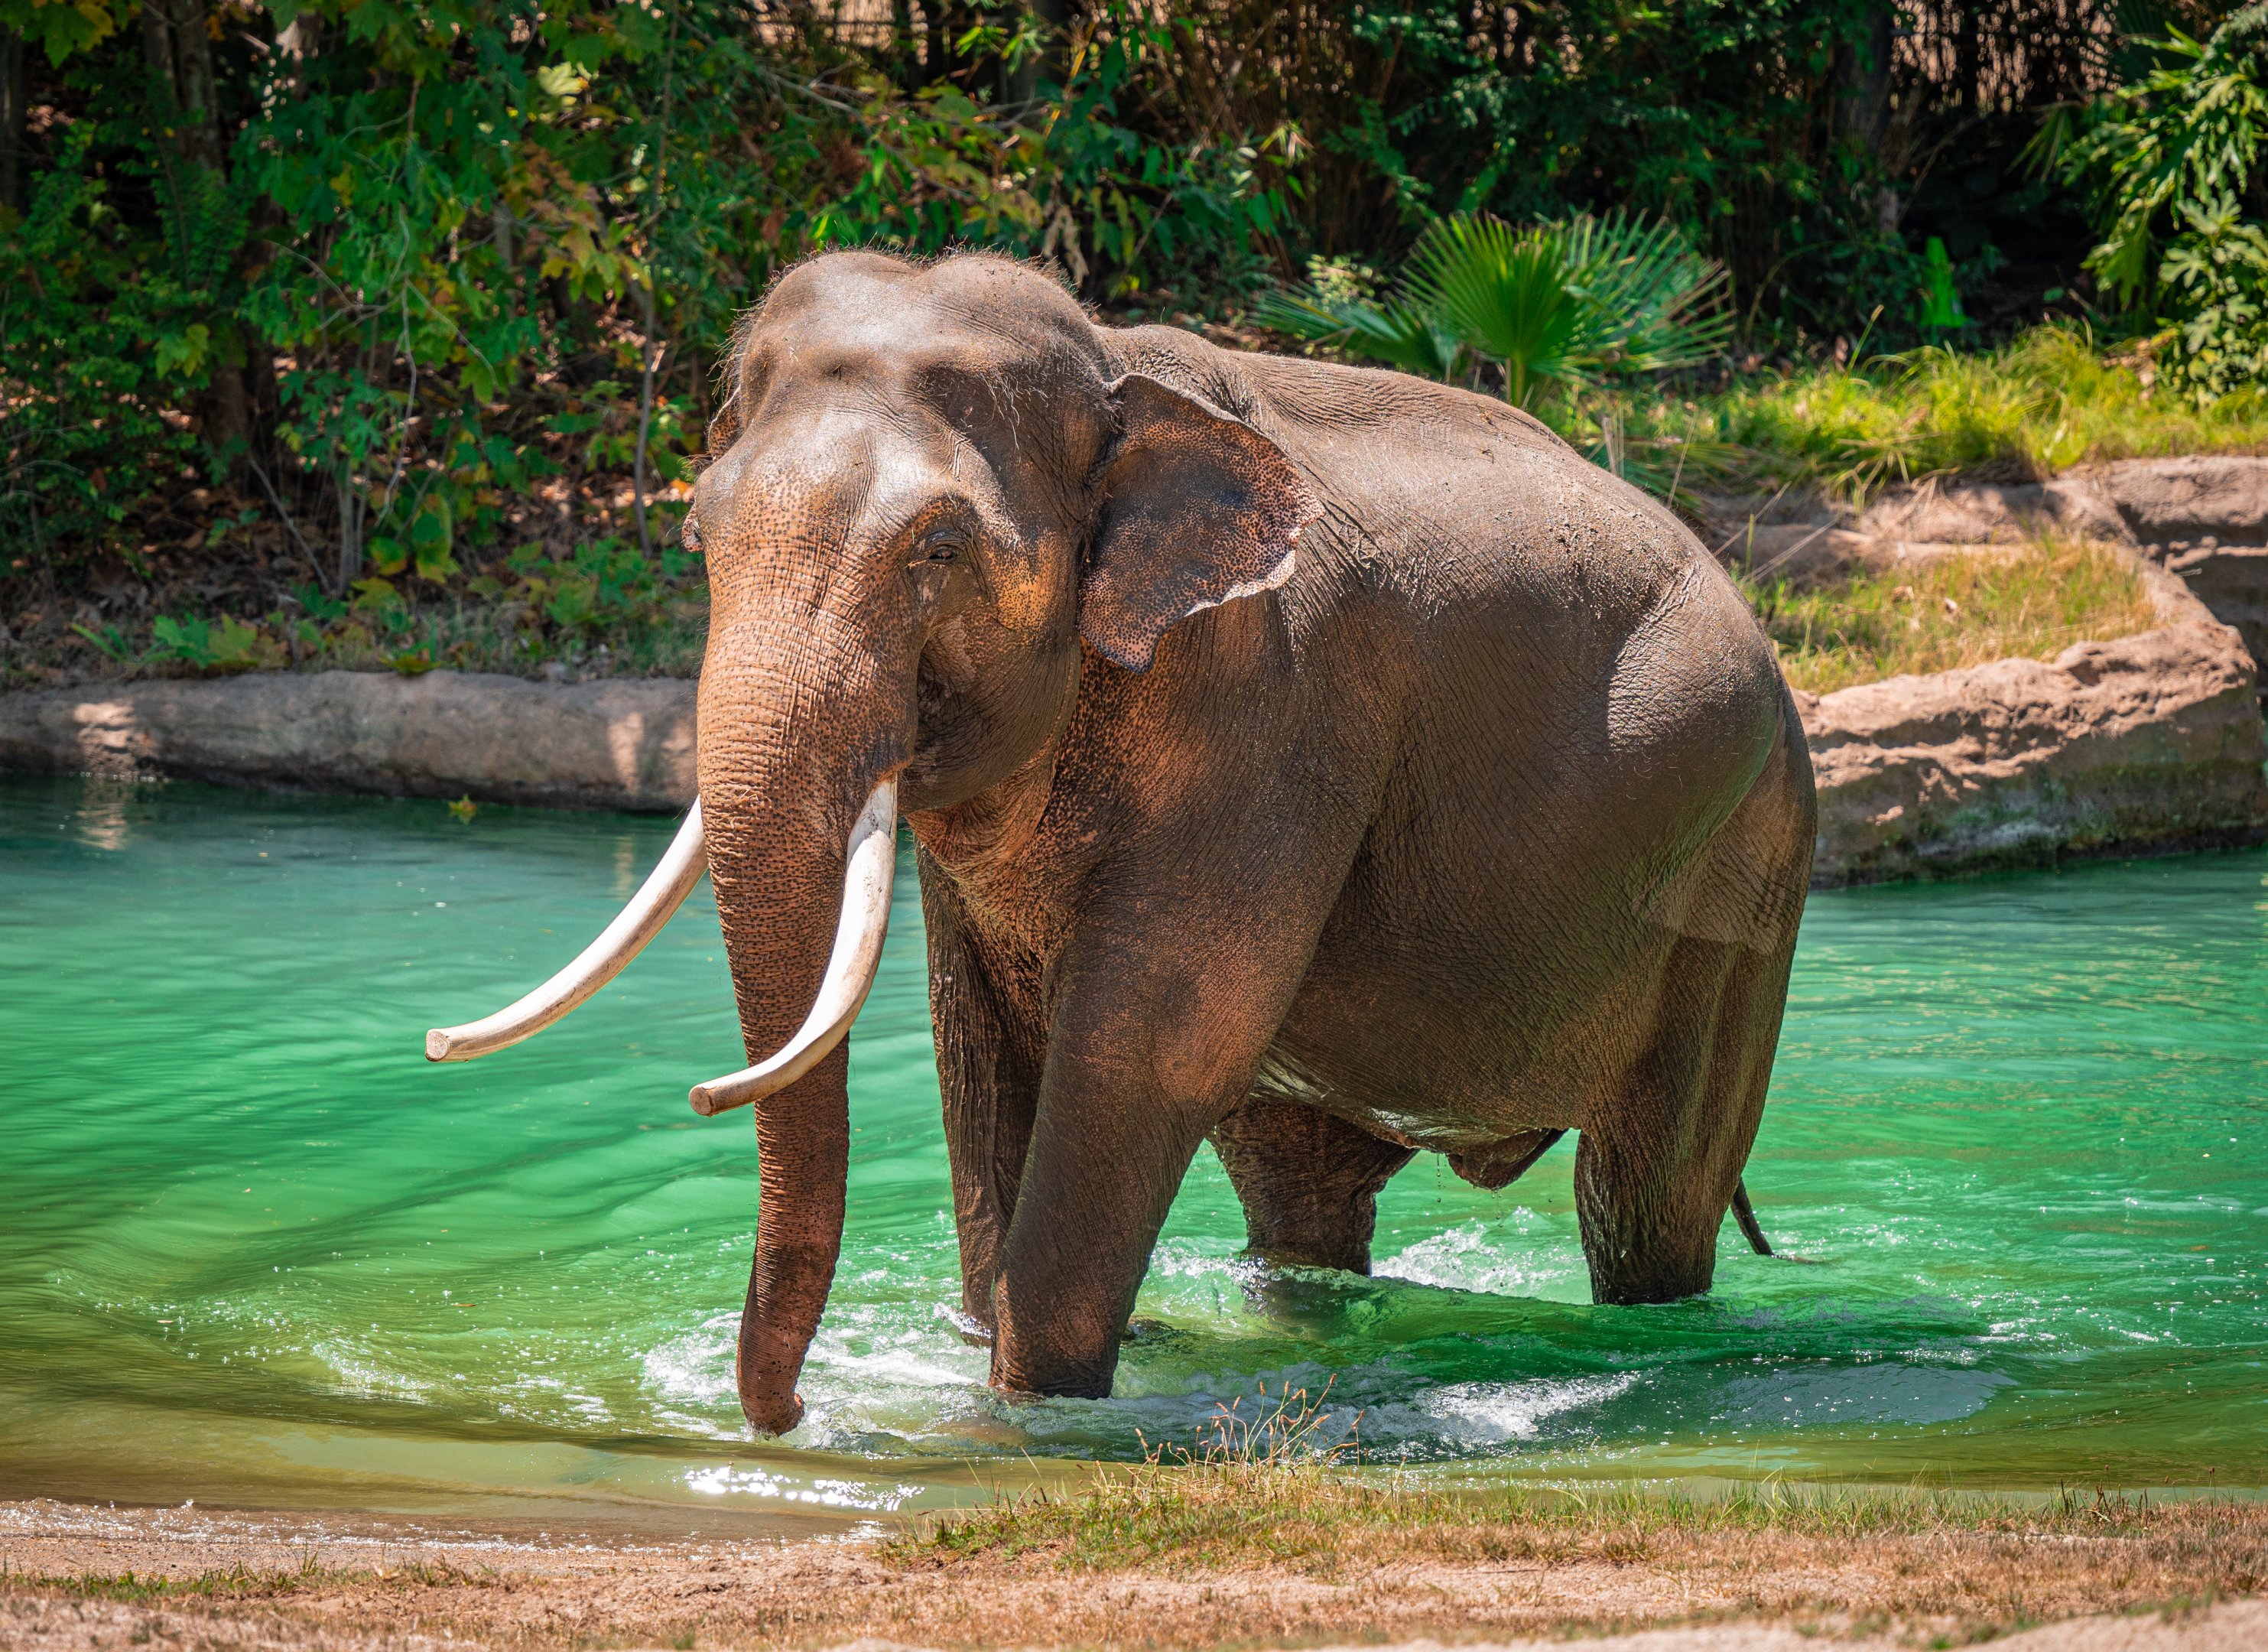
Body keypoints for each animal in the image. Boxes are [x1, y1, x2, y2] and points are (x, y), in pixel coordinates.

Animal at [429, 249, 1817, 1436]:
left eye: (938, 548)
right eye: (698, 538)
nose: (792, 1416)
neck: (1112, 368)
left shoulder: (1273, 715)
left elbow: (1147, 1046)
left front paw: (1028, 1413)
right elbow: (977, 1044)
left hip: (1740, 878)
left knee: (1646, 1208)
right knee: (1299, 1197)